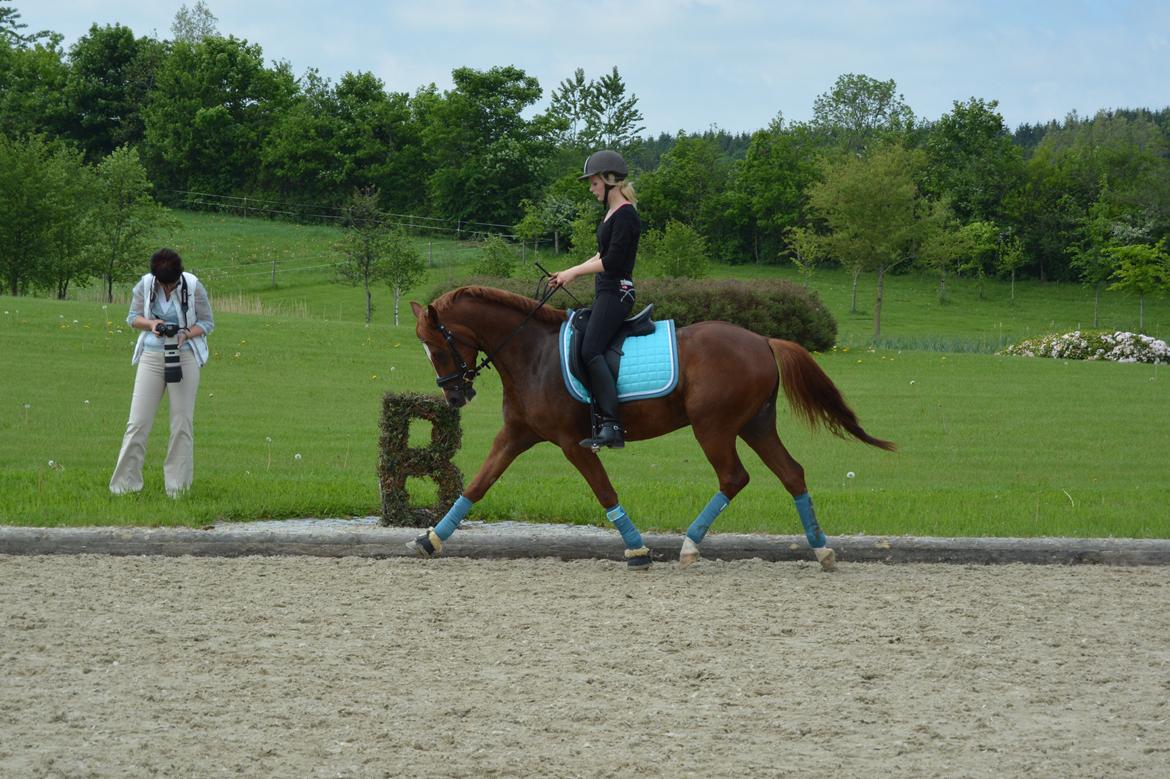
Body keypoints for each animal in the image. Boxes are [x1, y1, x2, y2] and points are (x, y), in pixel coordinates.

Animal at [407, 287, 889, 568]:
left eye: (437, 346)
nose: (454, 398)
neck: (533, 353)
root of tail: (763, 340)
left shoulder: (573, 443)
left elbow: (605, 492)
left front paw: (637, 549)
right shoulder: (515, 436)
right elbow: (477, 485)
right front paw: (430, 540)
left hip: (713, 426)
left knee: (734, 477)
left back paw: (691, 545)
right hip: (755, 425)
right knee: (791, 473)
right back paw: (821, 547)